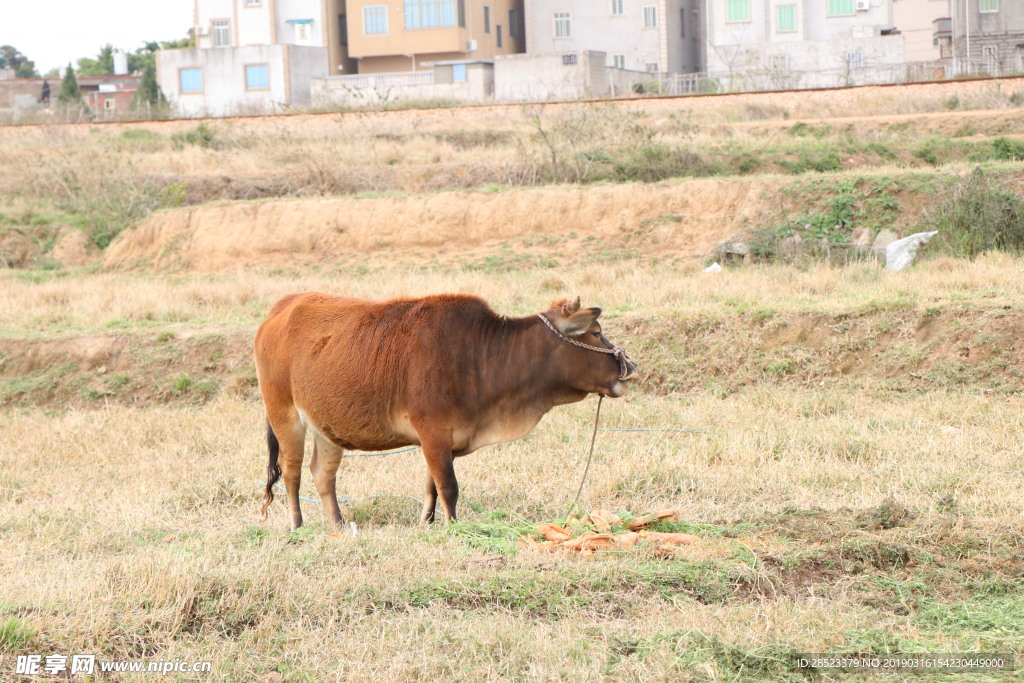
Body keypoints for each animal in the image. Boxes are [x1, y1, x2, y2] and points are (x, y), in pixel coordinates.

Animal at [252, 294, 634, 528]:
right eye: (596, 332)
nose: (629, 367)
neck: (483, 355)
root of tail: (280, 308)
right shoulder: (433, 431)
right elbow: (448, 486)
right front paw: (453, 526)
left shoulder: (439, 440)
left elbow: (431, 485)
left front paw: (428, 522)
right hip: (285, 415)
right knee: (291, 473)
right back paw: (298, 524)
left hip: (326, 429)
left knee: (323, 475)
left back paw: (339, 524)